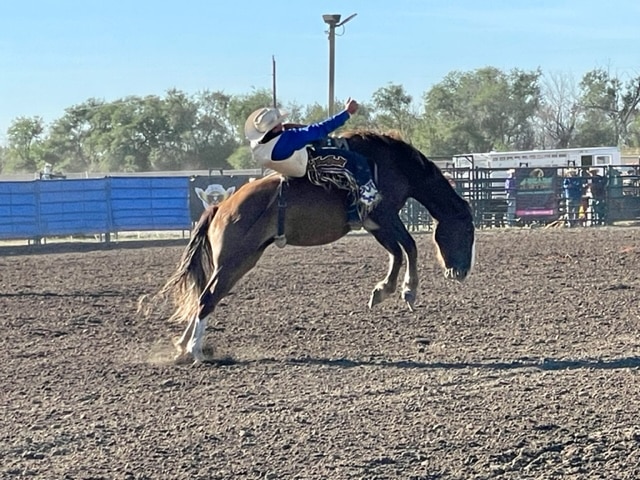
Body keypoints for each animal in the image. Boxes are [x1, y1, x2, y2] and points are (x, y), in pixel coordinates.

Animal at [159, 131, 472, 360]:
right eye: (468, 231)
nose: (462, 272)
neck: (394, 165)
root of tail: (220, 206)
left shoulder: (375, 223)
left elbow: (396, 252)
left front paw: (382, 291)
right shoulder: (384, 215)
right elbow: (409, 246)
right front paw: (409, 290)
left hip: (240, 261)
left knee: (206, 296)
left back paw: (184, 346)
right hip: (233, 260)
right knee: (207, 297)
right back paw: (195, 351)